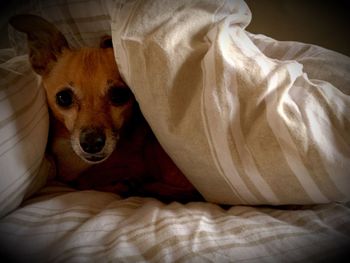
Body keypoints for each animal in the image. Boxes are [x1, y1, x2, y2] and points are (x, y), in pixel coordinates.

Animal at [10, 14, 202, 203]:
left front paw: (123, 184)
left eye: (119, 95)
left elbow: (86, 179)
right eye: (63, 98)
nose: (91, 143)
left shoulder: (136, 163)